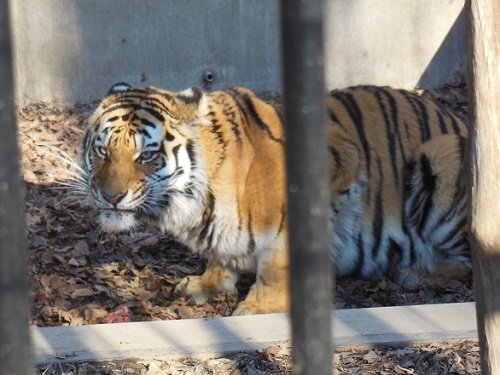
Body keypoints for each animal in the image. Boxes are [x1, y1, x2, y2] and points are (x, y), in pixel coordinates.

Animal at [80, 83, 470, 316]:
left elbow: (276, 261)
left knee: (467, 262)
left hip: (442, 156)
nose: (111, 195)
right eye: (102, 150)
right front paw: (209, 283)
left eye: (146, 156)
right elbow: (221, 251)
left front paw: (258, 308)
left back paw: (414, 272)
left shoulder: (338, 161)